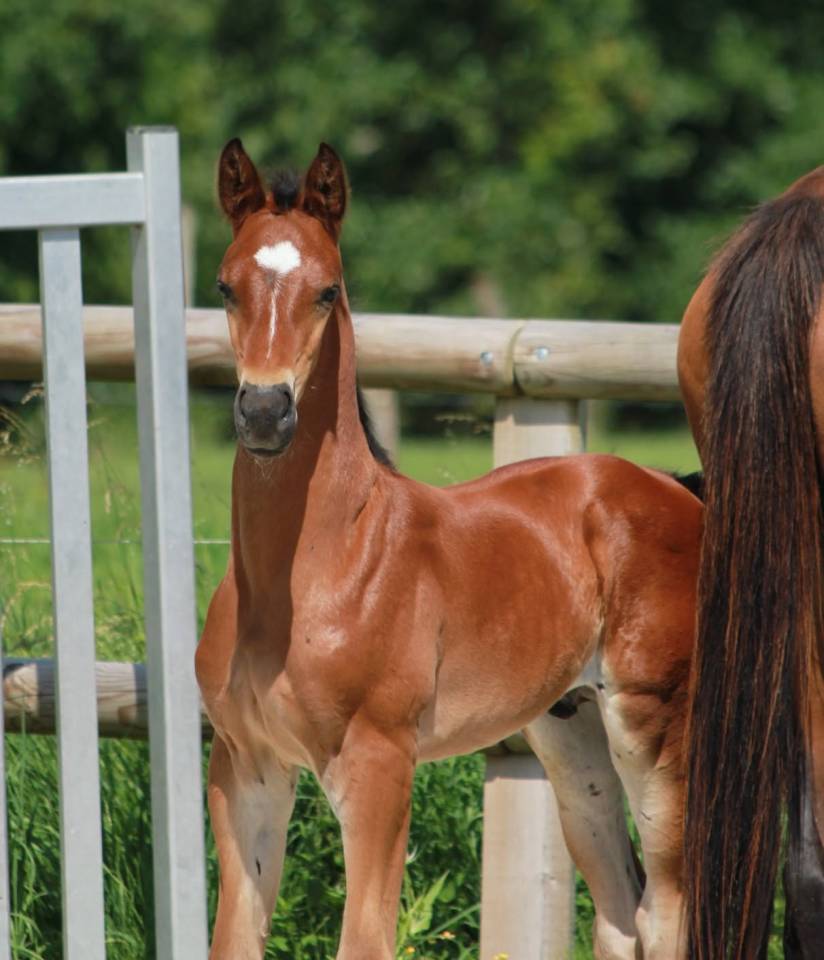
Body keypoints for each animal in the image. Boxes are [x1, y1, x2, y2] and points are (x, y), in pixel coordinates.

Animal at [195, 137, 704, 960]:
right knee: (619, 912)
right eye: (224, 285)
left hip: (654, 724)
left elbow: (365, 941)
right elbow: (231, 939)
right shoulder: (246, 766)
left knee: (666, 912)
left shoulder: (378, 766)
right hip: (572, 732)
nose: (265, 413)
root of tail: (671, 486)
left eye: (327, 291)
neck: (314, 572)